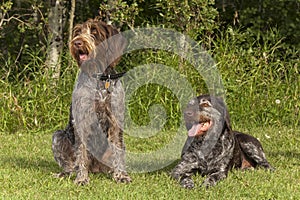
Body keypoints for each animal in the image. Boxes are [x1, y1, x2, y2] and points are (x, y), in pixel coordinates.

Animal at [51, 18, 131, 185]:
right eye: (78, 32)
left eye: (94, 32)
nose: (77, 43)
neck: (99, 77)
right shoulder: (81, 119)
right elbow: (81, 152)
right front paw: (81, 178)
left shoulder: (115, 120)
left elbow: (118, 150)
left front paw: (121, 175)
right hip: (58, 136)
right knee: (70, 164)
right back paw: (67, 173)